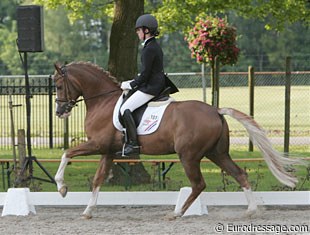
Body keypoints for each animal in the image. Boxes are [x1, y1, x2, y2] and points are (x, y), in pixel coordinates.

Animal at [53, 62, 302, 218]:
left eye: (58, 85)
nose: (59, 112)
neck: (102, 102)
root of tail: (216, 110)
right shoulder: (108, 151)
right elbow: (97, 180)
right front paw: (87, 211)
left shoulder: (98, 145)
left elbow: (67, 153)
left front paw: (62, 188)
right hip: (217, 153)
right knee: (239, 174)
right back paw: (250, 210)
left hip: (188, 156)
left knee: (198, 184)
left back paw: (177, 212)